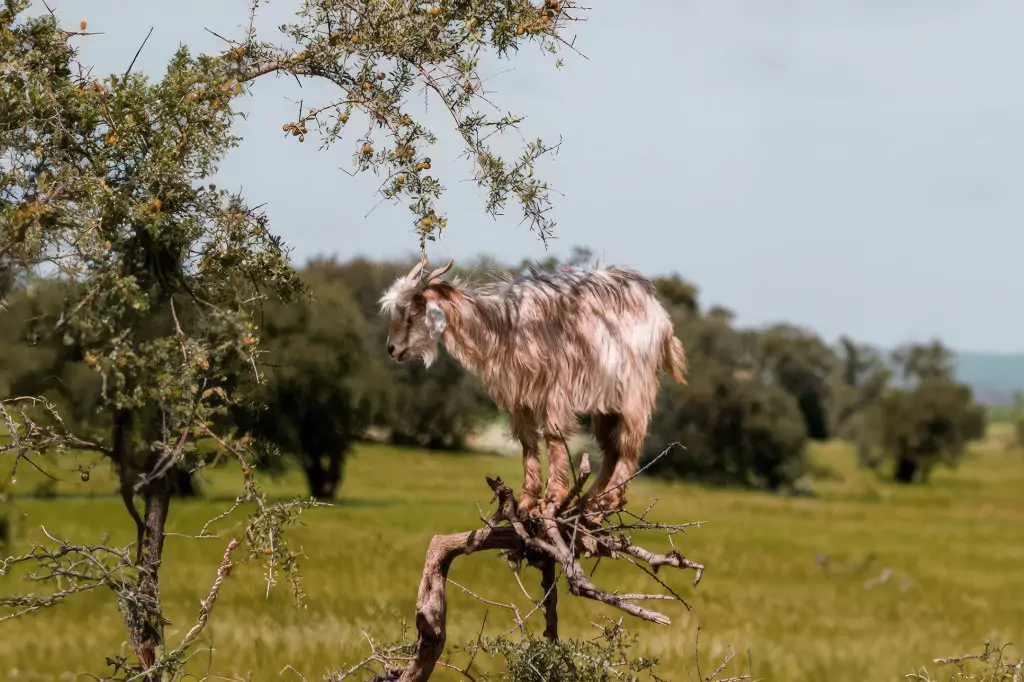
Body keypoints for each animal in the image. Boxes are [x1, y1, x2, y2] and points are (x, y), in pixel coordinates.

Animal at [378, 258, 688, 518]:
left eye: (411, 314)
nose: (392, 349)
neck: (504, 327)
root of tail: (661, 317)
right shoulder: (517, 396)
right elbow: (527, 441)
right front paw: (528, 500)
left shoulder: (556, 389)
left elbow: (553, 436)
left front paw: (553, 496)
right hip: (607, 403)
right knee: (610, 449)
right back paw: (590, 500)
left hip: (635, 391)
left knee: (629, 444)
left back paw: (610, 499)